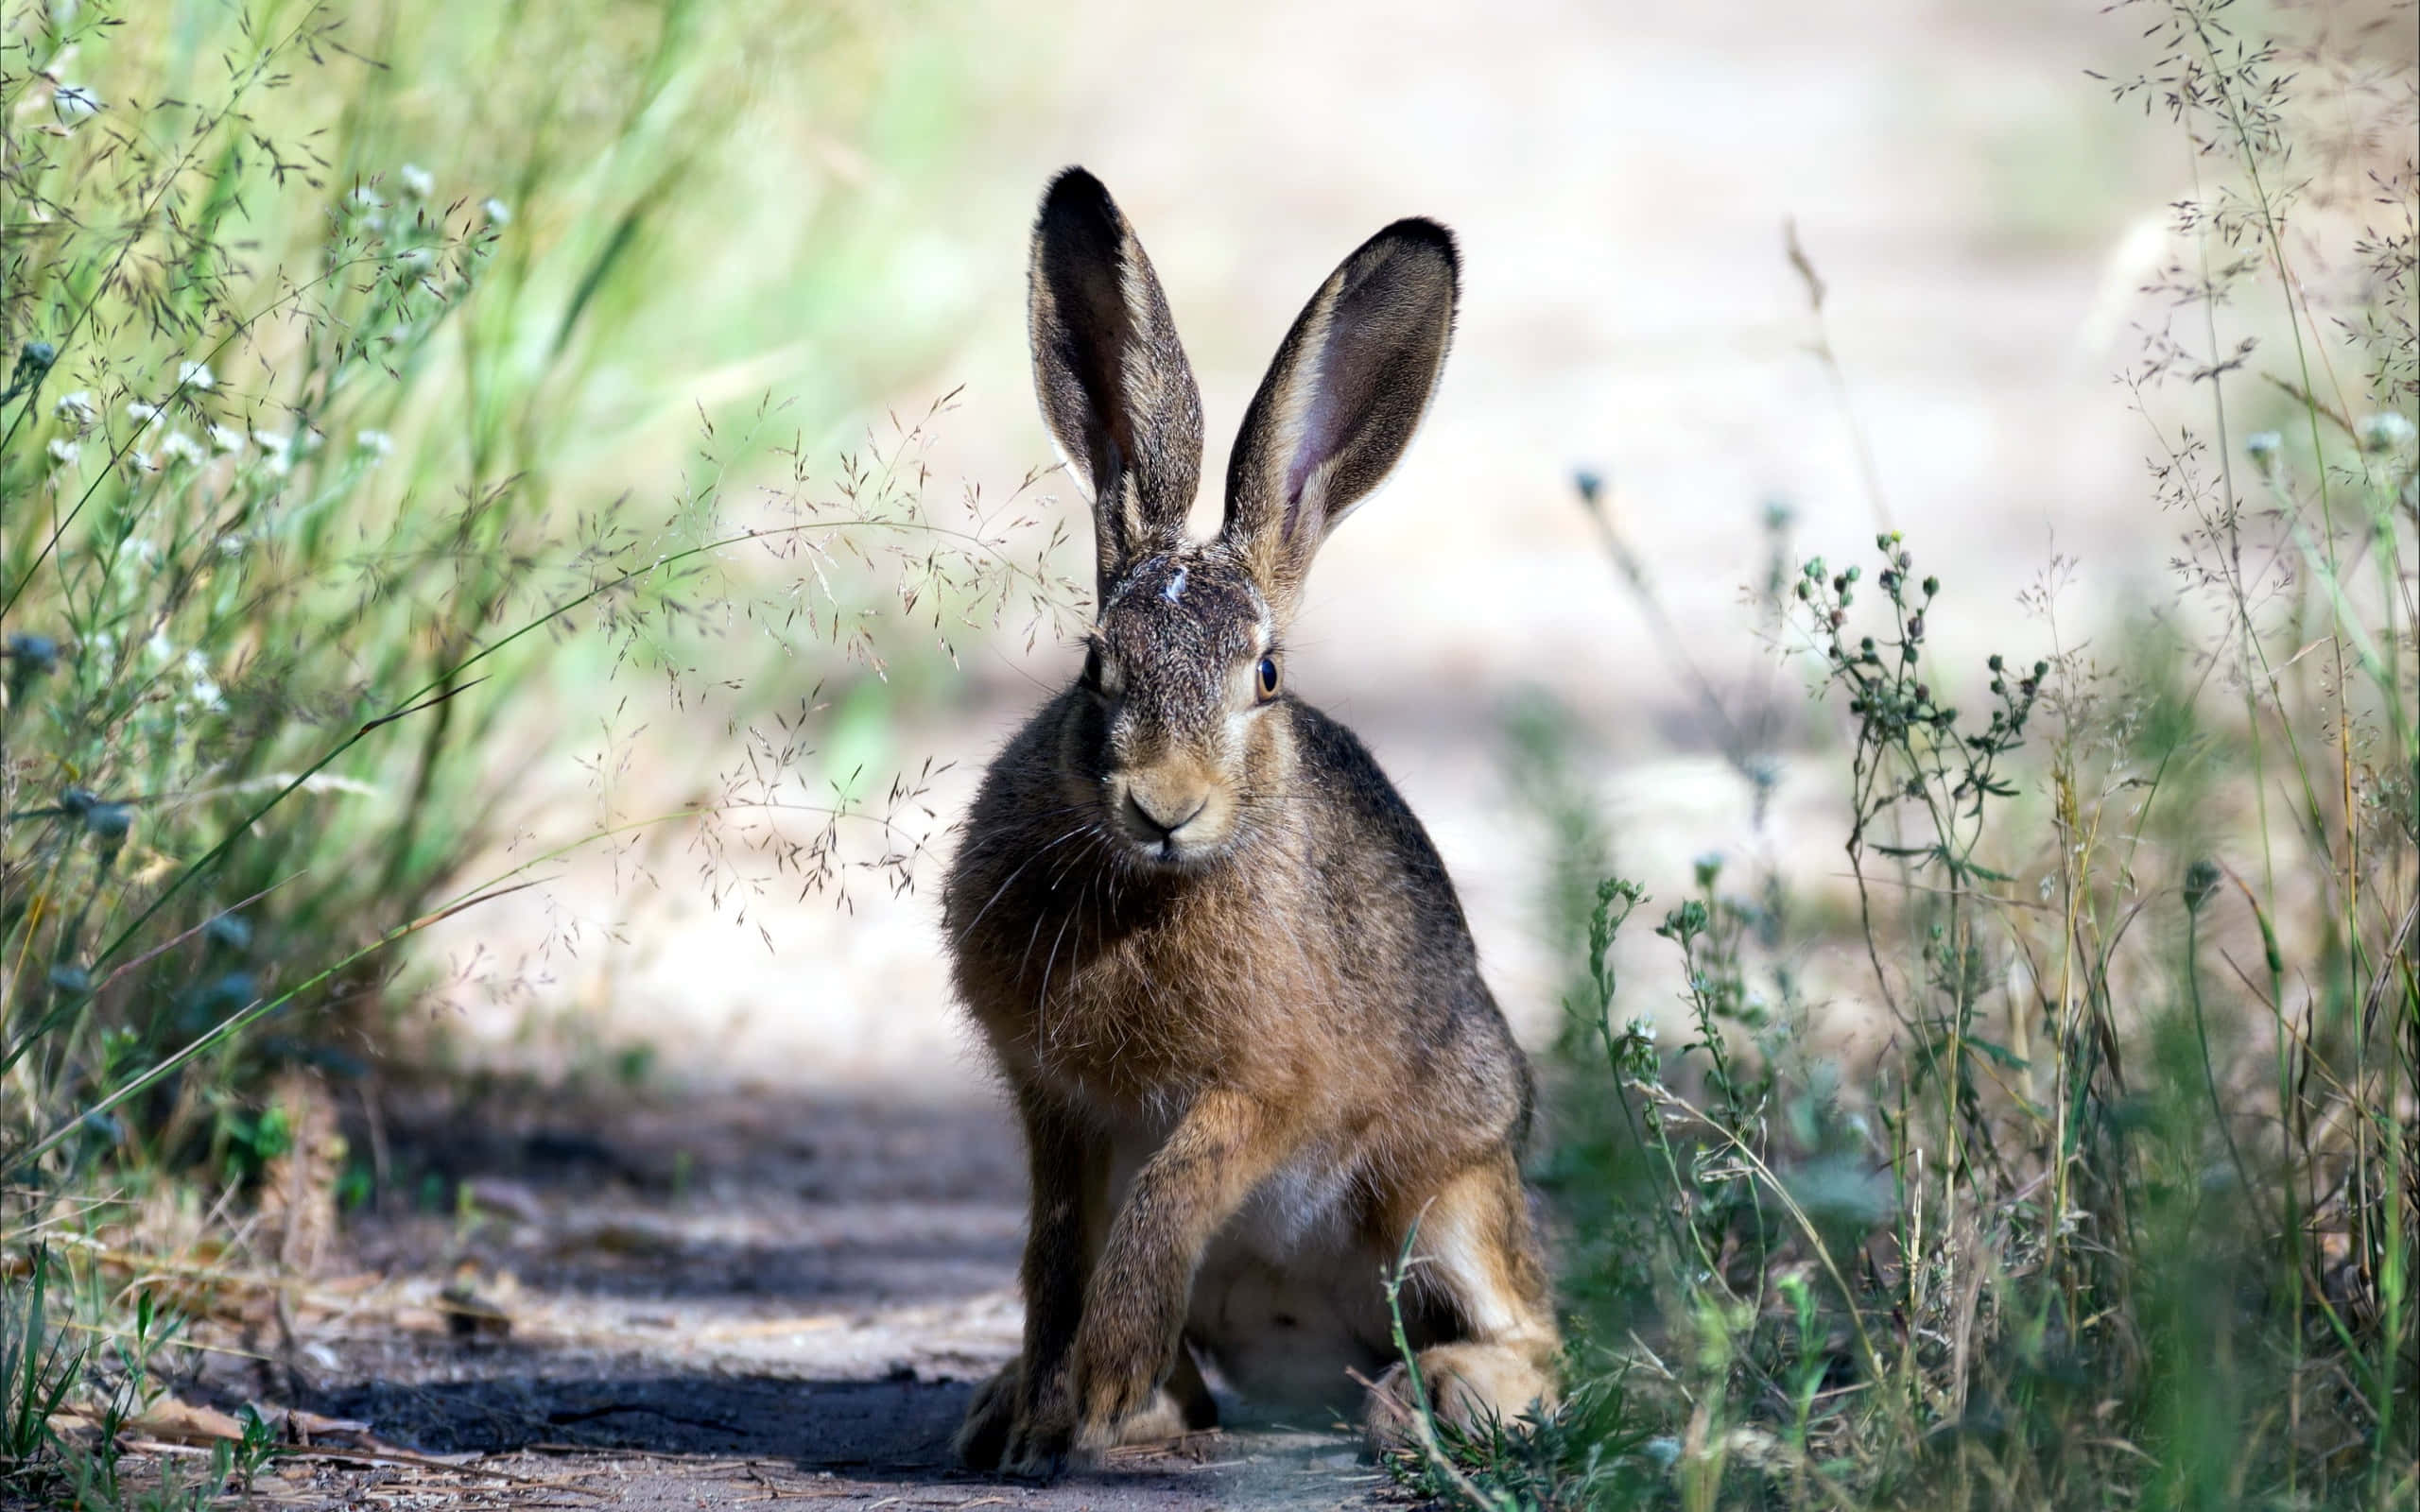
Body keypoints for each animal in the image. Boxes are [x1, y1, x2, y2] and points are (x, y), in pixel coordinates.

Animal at [943, 166, 1560, 1479]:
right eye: (1094, 663)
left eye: (1265, 677)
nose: (1163, 805)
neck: (1147, 887)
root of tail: (1312, 1352)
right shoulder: (1051, 1105)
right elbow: (1054, 1252)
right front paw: (1043, 1412)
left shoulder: (1263, 1092)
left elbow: (1166, 1202)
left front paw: (1093, 1388)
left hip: (1451, 1188)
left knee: (1535, 1335)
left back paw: (1433, 1400)